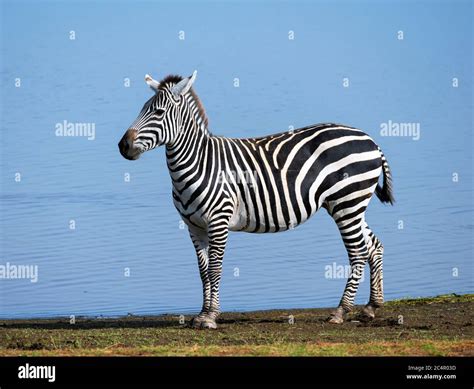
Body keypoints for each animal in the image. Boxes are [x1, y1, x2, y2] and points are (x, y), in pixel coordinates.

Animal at [119, 70, 396, 328]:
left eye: (158, 112)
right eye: (142, 109)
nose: (123, 146)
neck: (198, 163)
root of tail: (370, 139)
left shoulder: (218, 221)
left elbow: (215, 269)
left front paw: (211, 317)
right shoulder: (193, 226)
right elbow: (203, 271)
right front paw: (200, 314)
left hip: (346, 202)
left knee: (358, 251)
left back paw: (341, 311)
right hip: (350, 205)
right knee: (374, 245)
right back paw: (371, 307)